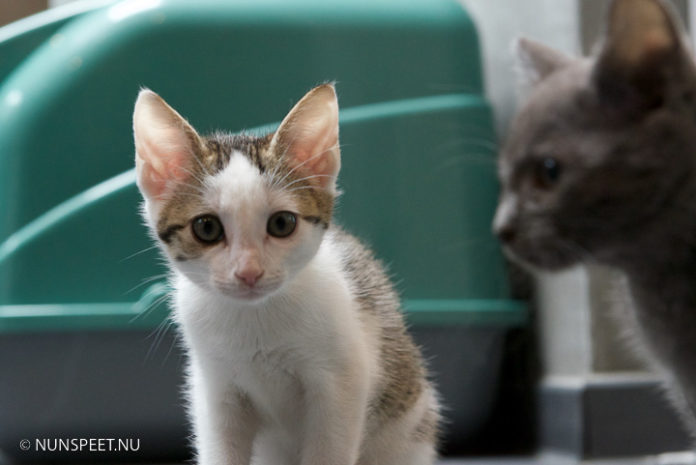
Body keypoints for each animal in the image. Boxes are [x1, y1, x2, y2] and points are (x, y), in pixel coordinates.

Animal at [132, 83, 440, 465]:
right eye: (206, 228)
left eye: (281, 223)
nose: (248, 272)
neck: (255, 319)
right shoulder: (216, 389)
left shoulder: (342, 382)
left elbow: (328, 448)